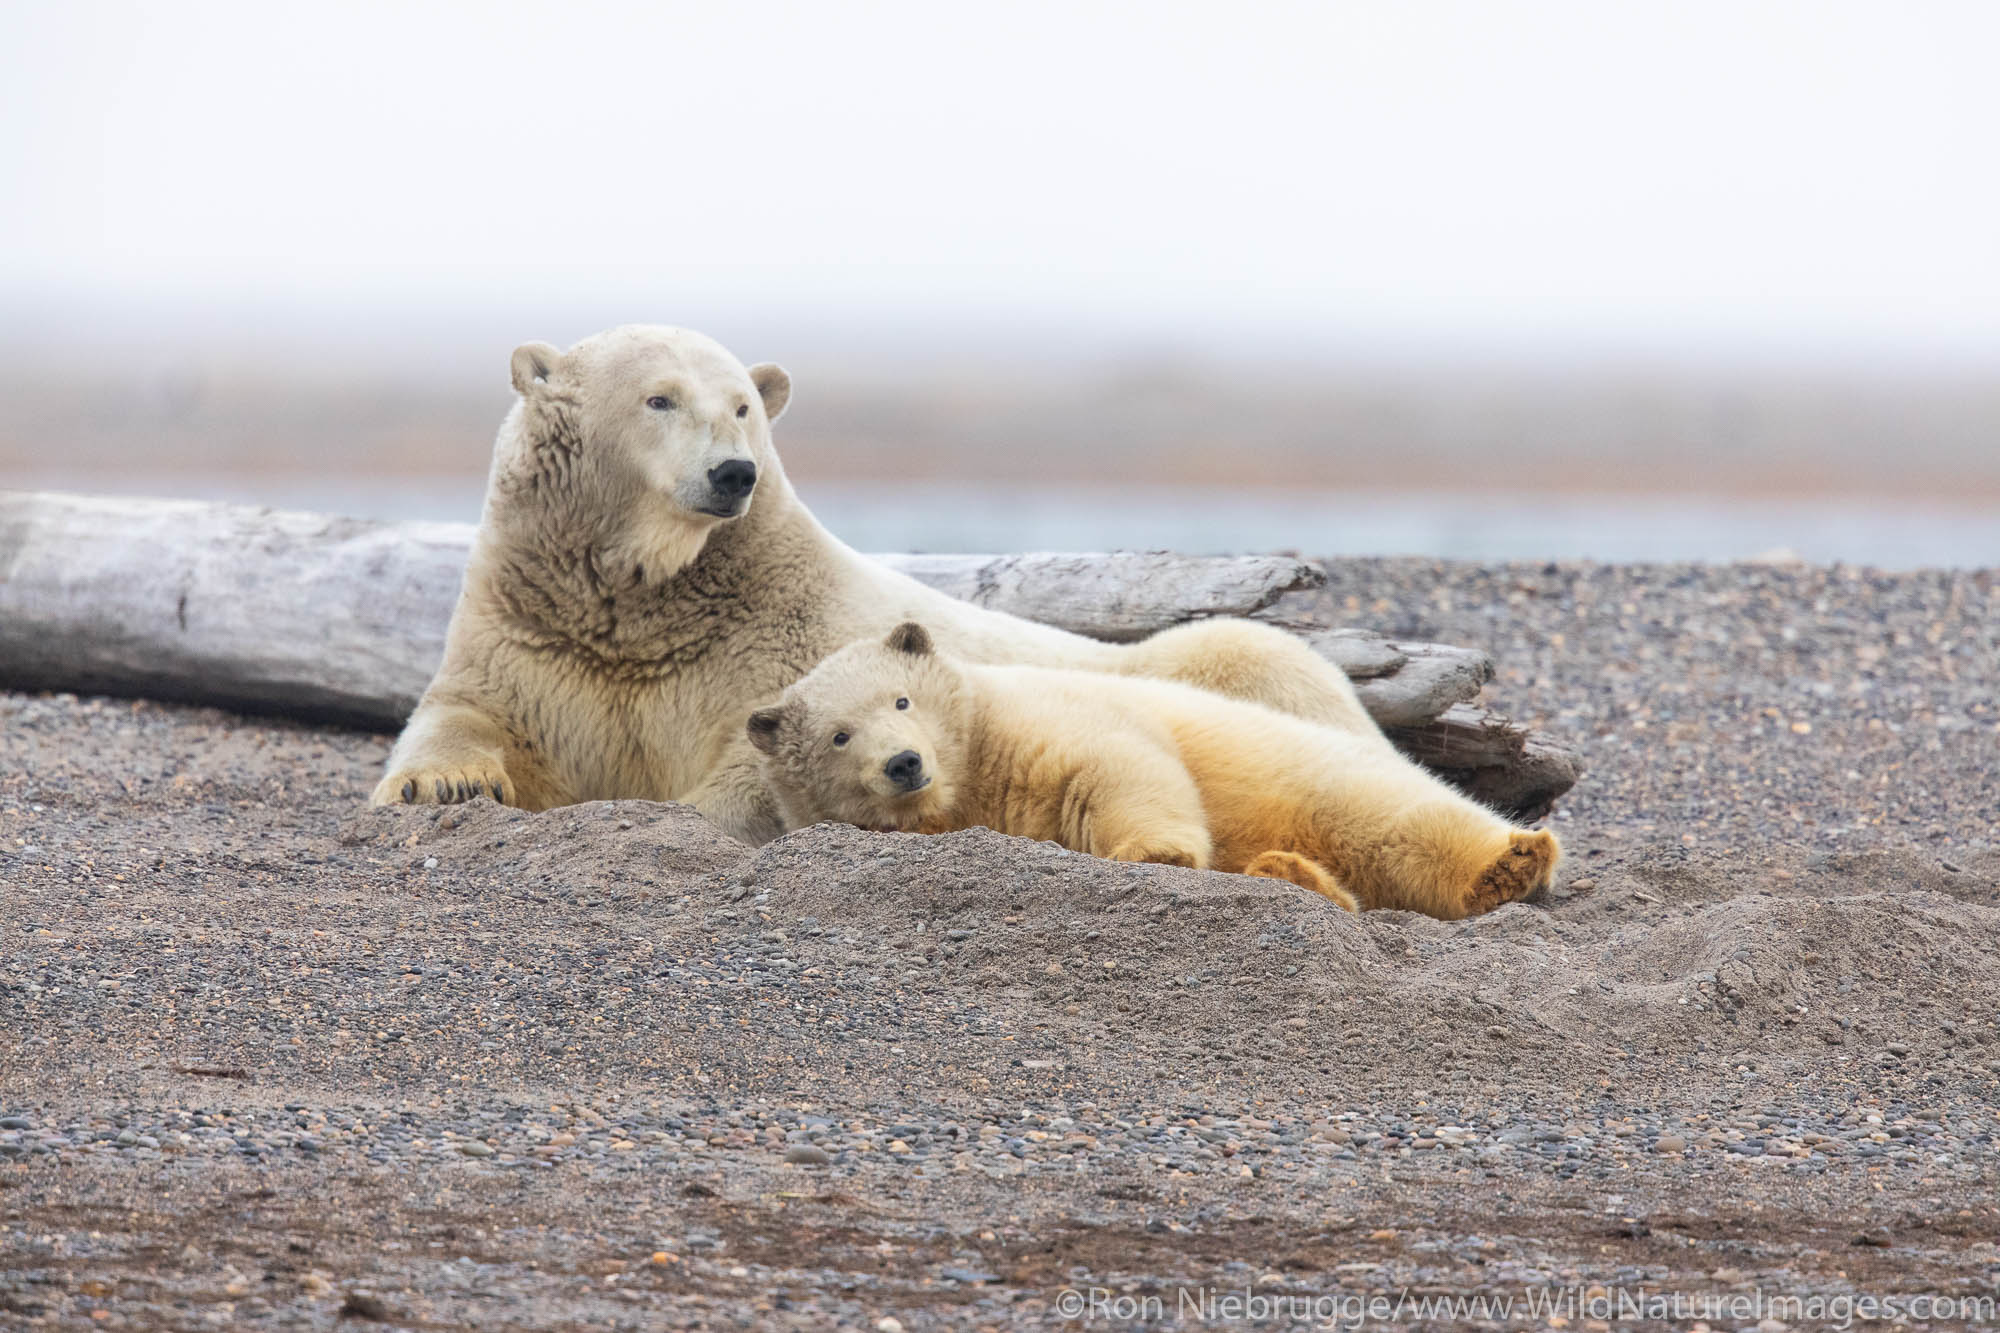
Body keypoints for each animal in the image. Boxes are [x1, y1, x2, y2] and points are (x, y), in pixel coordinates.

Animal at [378, 324, 1392, 840]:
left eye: (743, 406)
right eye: (658, 398)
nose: (734, 473)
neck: (652, 603)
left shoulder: (782, 639)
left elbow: (752, 763)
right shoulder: (537, 622)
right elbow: (468, 710)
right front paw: (444, 786)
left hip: (1258, 669)